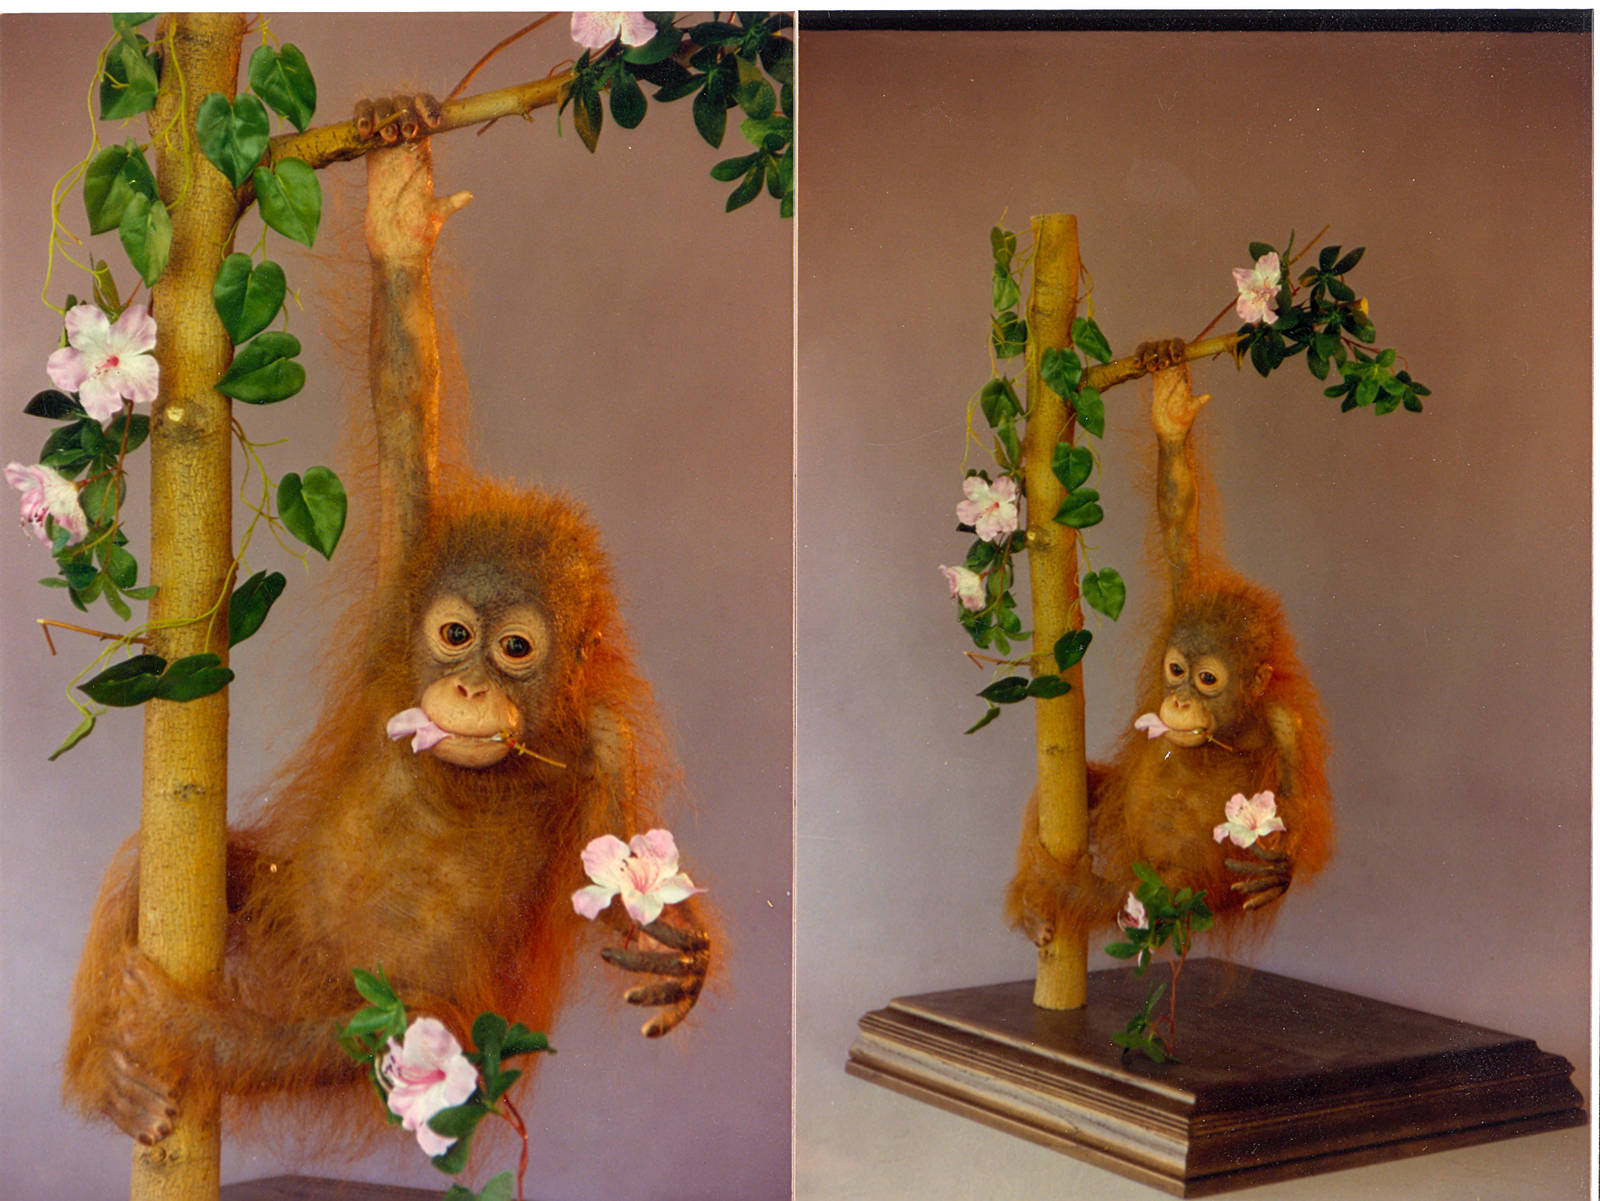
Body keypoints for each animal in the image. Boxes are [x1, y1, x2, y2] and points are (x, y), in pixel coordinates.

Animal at [63, 99, 710, 1149]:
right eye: (453, 635)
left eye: (516, 648)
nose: (470, 684)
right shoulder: (406, 571)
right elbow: (404, 394)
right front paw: (401, 213)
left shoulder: (608, 745)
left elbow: (625, 885)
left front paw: (675, 951)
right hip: (267, 902)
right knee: (172, 872)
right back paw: (113, 1072)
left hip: (389, 1016)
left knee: (372, 1030)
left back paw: (190, 1029)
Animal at [1007, 340, 1332, 949]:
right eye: (1177, 670)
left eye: (1207, 680)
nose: (1179, 699)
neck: (1230, 724)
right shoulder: (1185, 599)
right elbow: (1178, 515)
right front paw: (1173, 412)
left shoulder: (1286, 724)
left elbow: (1295, 801)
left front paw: (1280, 869)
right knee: (1082, 788)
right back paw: (1036, 904)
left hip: (1174, 891)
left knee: (1138, 896)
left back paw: (1061, 893)